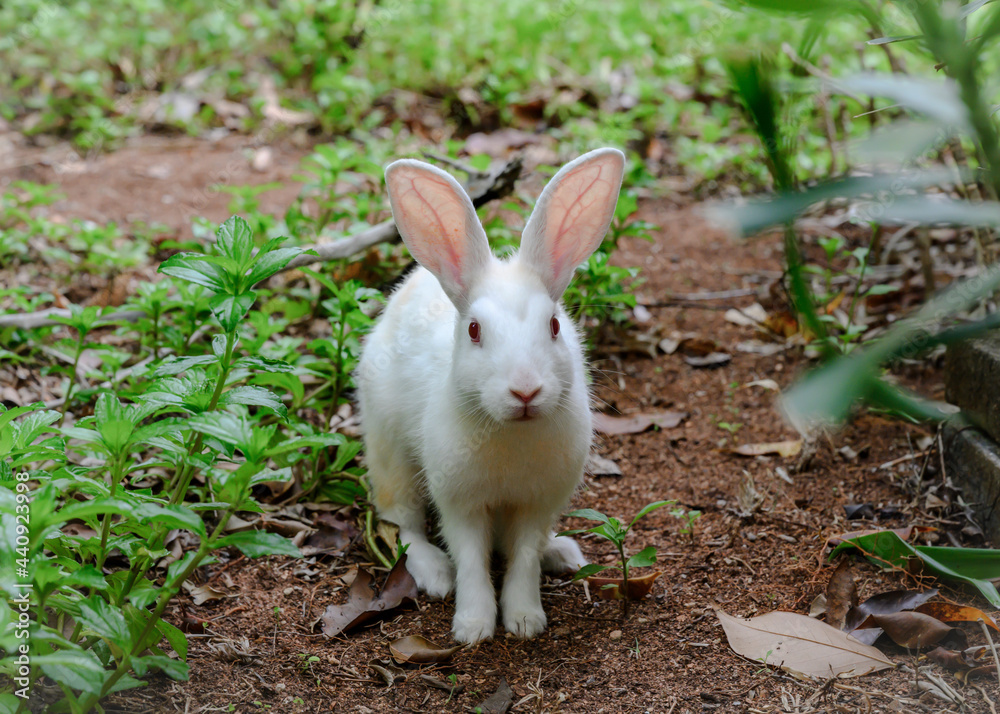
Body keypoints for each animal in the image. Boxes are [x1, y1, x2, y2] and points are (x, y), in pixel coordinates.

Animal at [356, 148, 625, 644]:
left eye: (554, 326)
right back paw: (435, 573)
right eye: (474, 330)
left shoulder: (539, 504)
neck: (510, 431)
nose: (525, 390)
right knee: (402, 523)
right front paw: (474, 627)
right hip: (390, 453)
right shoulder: (460, 503)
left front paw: (524, 620)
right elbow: (471, 560)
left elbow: (523, 558)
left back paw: (563, 554)